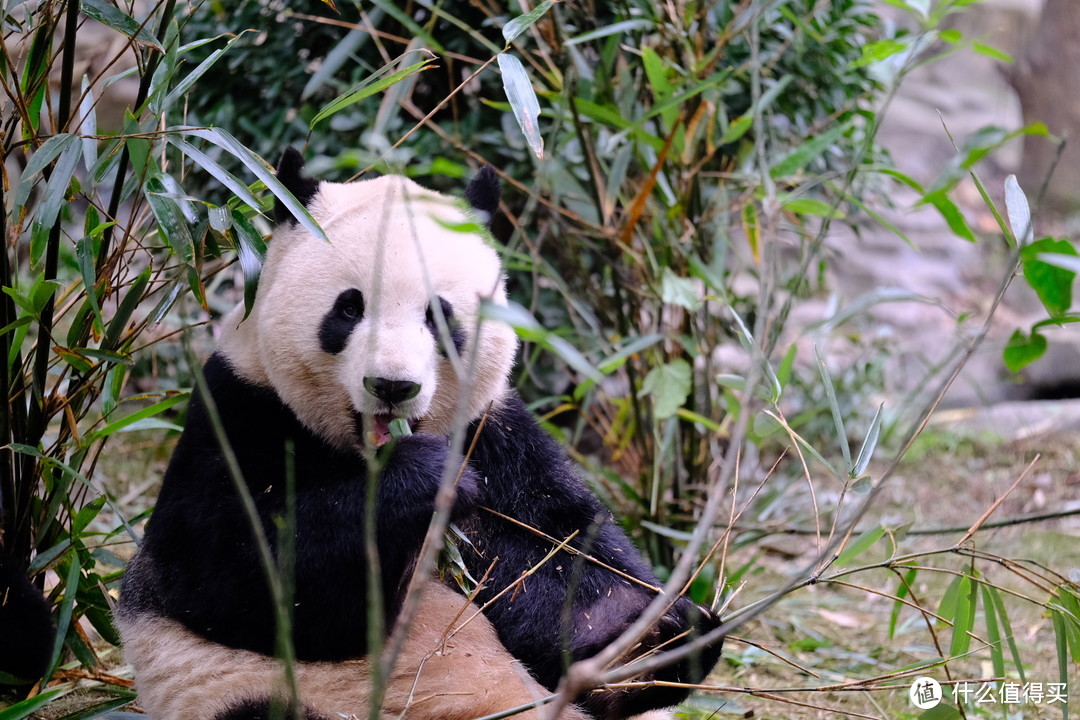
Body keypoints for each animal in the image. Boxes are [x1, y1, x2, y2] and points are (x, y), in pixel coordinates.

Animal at [116, 147, 725, 720]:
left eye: (439, 314)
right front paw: (423, 479)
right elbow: (227, 573)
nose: (392, 385)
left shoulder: (494, 434)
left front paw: (648, 642)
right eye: (349, 308)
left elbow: (552, 551)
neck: (362, 454)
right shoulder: (241, 409)